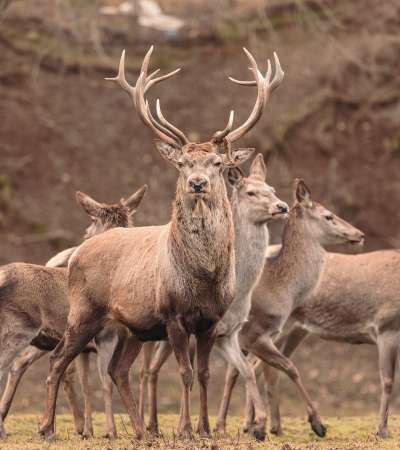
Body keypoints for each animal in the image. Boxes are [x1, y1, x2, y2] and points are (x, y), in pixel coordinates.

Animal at [38, 46, 284, 440]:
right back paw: (48, 427)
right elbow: (185, 373)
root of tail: (78, 252)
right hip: (83, 312)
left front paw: (204, 429)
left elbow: (204, 374)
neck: (203, 277)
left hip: (130, 328)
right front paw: (185, 430)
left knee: (117, 370)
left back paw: (141, 431)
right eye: (182, 163)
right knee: (58, 358)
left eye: (217, 162)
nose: (197, 183)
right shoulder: (172, 315)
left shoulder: (211, 320)